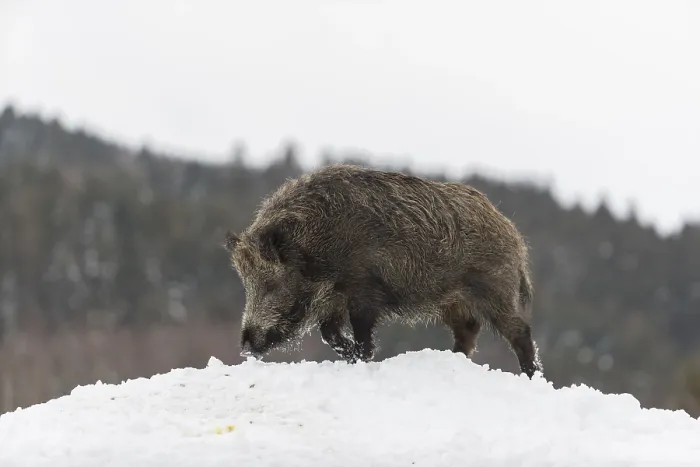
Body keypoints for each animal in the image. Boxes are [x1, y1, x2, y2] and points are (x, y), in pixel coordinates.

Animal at [224, 164, 543, 378]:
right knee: (468, 331)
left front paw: (362, 358)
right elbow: (329, 334)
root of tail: (512, 233)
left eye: (271, 284)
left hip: (494, 289)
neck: (316, 245)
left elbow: (361, 336)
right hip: (453, 302)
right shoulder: (332, 301)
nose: (246, 346)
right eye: (246, 284)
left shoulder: (363, 290)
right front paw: (351, 356)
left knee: (518, 330)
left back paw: (532, 375)